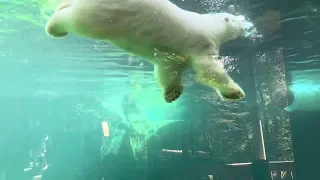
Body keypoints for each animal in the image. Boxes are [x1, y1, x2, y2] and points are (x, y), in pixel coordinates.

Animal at [45, 0, 252, 102]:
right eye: (236, 19)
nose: (246, 20)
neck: (210, 26)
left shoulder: (172, 56)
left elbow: (168, 69)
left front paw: (172, 93)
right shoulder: (201, 43)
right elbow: (210, 70)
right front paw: (236, 93)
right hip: (107, 15)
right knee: (76, 20)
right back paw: (54, 27)